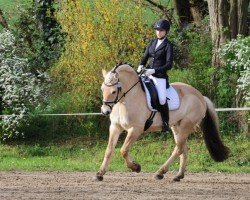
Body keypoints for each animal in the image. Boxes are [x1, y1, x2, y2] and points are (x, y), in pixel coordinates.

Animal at [95, 63, 229, 181]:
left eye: (113, 91)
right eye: (102, 89)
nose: (105, 111)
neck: (126, 99)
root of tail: (201, 96)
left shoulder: (135, 129)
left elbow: (123, 150)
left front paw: (136, 167)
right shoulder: (115, 127)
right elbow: (109, 150)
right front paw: (100, 174)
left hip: (187, 125)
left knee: (178, 149)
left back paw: (160, 172)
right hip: (177, 126)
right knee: (183, 148)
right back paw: (178, 176)